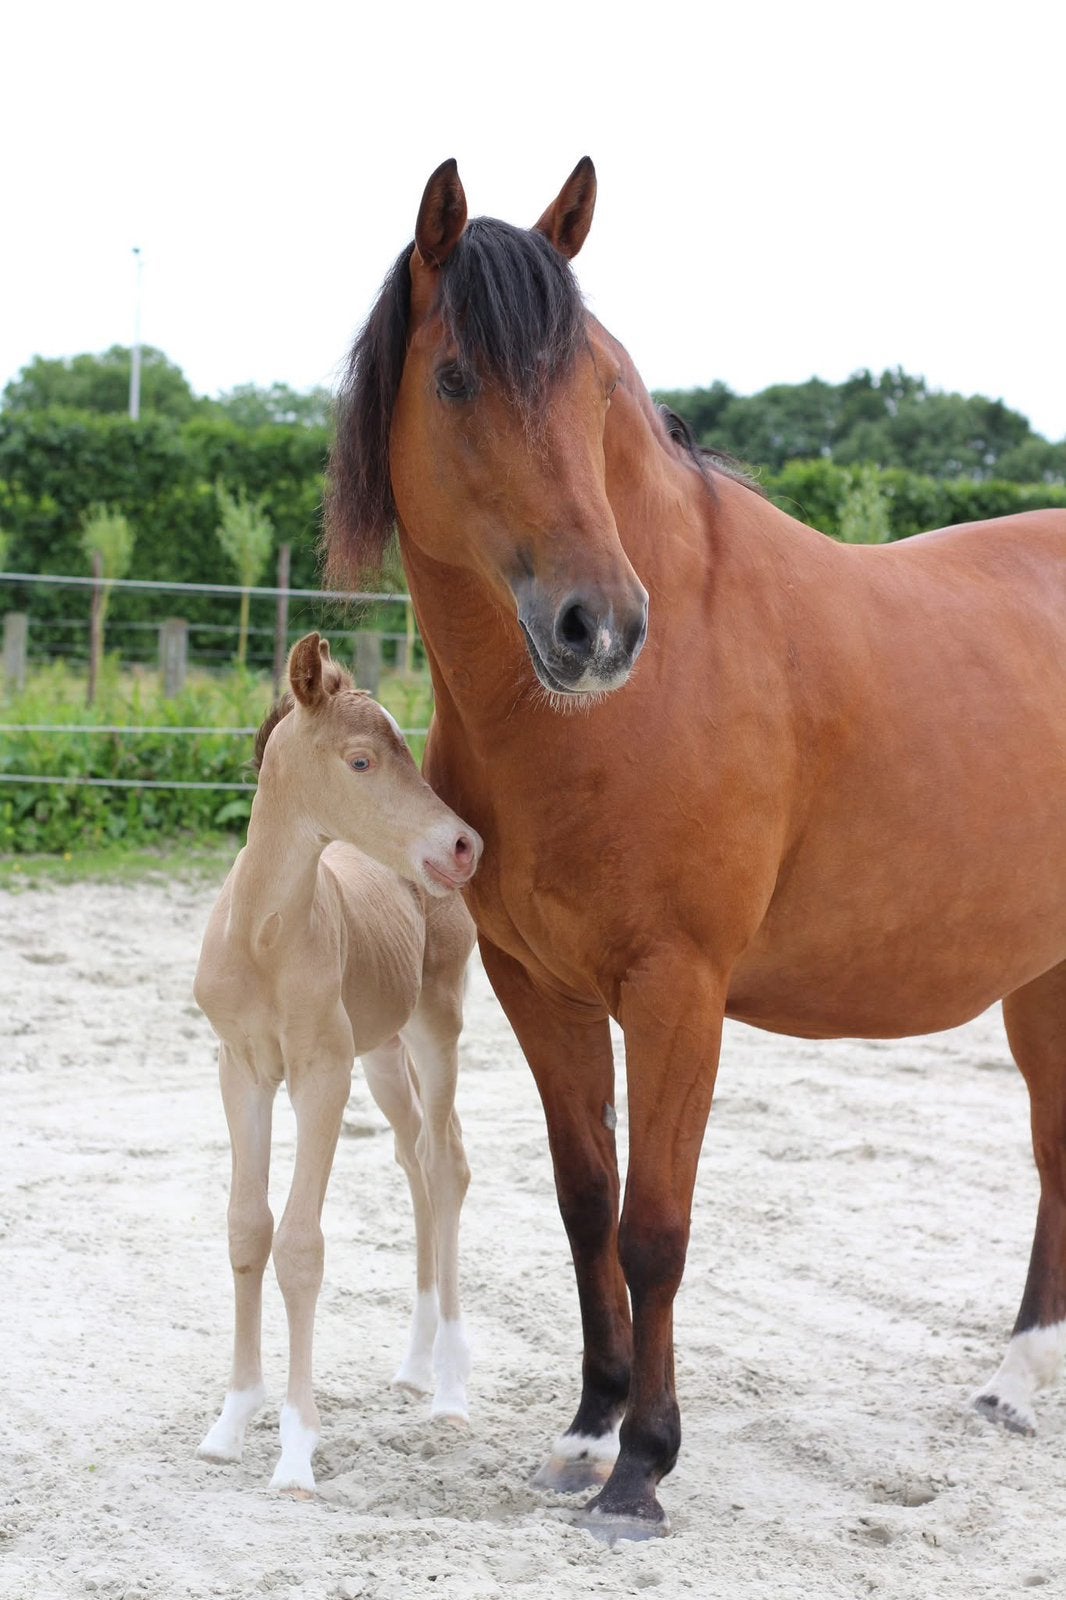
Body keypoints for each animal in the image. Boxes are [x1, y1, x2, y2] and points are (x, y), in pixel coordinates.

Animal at [193, 632, 481, 1494]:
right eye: (361, 761)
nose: (463, 846)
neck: (264, 937)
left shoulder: (322, 1075)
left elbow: (299, 1246)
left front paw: (295, 1450)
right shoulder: (242, 1070)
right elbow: (247, 1228)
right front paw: (232, 1422)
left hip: (435, 1028)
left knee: (445, 1164)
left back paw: (450, 1389)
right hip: (383, 1056)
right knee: (414, 1158)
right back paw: (415, 1365)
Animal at [324, 158, 1066, 1539]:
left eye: (597, 388)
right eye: (454, 379)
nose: (599, 628)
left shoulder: (678, 994)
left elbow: (655, 1226)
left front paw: (644, 1468)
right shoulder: (540, 988)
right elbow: (587, 1205)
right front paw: (586, 1430)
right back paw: (1011, 1382)